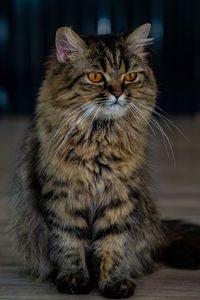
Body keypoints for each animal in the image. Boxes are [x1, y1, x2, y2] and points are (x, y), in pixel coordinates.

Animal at [10, 24, 200, 298]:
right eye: (95, 77)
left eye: (130, 77)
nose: (118, 93)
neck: (100, 139)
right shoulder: (63, 199)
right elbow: (69, 243)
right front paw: (74, 279)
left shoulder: (119, 197)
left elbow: (113, 243)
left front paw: (113, 282)